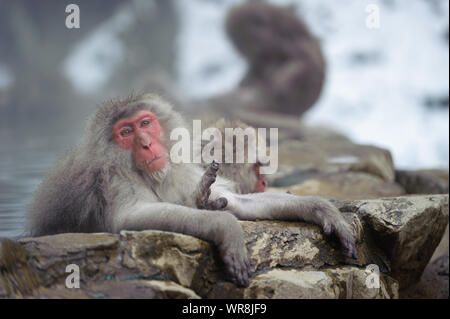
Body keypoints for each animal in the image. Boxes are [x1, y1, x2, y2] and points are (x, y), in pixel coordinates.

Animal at [28, 94, 358, 286]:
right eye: (126, 132)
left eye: (145, 123)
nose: (146, 144)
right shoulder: (113, 179)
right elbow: (127, 219)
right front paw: (225, 227)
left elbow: (236, 201)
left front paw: (323, 210)